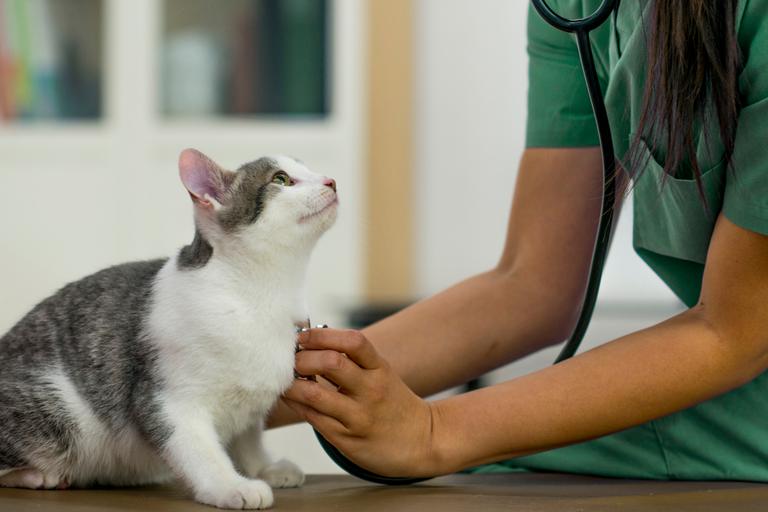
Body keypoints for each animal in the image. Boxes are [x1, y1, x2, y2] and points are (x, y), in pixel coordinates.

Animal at [0, 148, 340, 508]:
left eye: (308, 169)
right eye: (281, 179)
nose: (331, 181)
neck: (261, 296)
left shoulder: (249, 405)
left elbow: (248, 438)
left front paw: (263, 467)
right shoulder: (168, 399)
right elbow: (199, 450)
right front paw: (230, 485)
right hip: (58, 411)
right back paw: (37, 475)